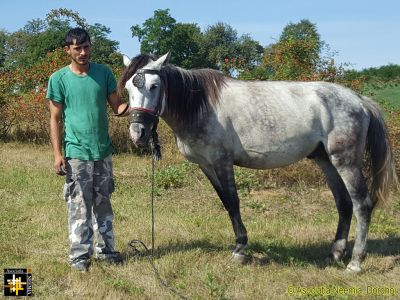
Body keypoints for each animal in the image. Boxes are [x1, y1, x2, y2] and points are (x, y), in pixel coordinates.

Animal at [117, 52, 398, 274]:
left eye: (154, 85)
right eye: (129, 89)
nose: (138, 133)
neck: (199, 104)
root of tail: (359, 100)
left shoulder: (222, 162)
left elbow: (233, 202)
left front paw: (240, 249)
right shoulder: (206, 165)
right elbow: (226, 203)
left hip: (346, 162)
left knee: (362, 204)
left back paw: (356, 262)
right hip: (326, 161)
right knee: (343, 203)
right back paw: (336, 253)